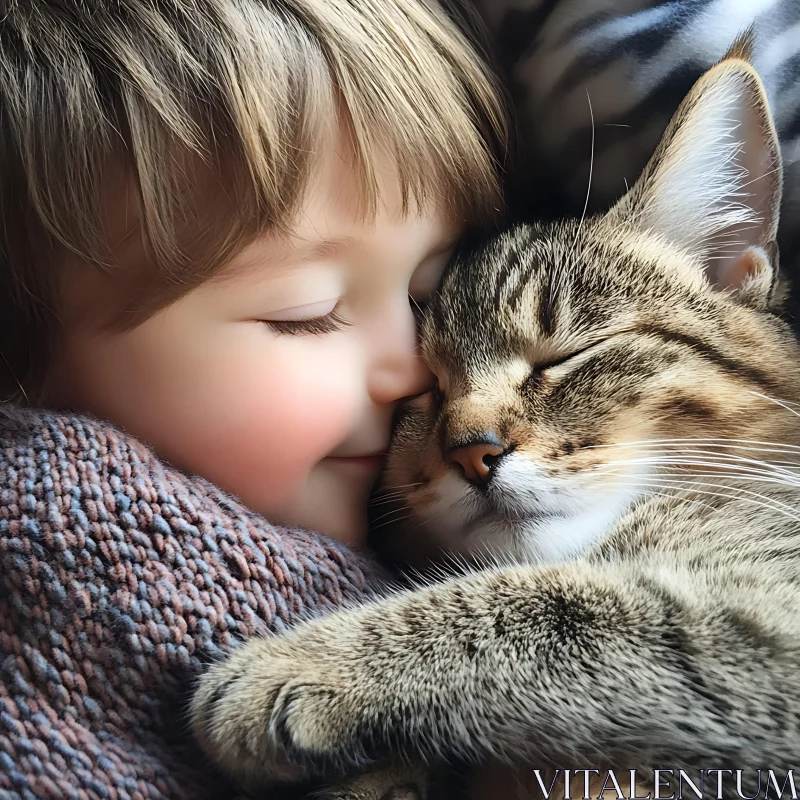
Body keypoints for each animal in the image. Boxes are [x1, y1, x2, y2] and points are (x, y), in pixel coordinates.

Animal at [192, 42, 800, 800]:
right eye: (425, 388)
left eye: (565, 354)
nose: (471, 451)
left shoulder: (761, 626)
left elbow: (552, 607)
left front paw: (303, 663)